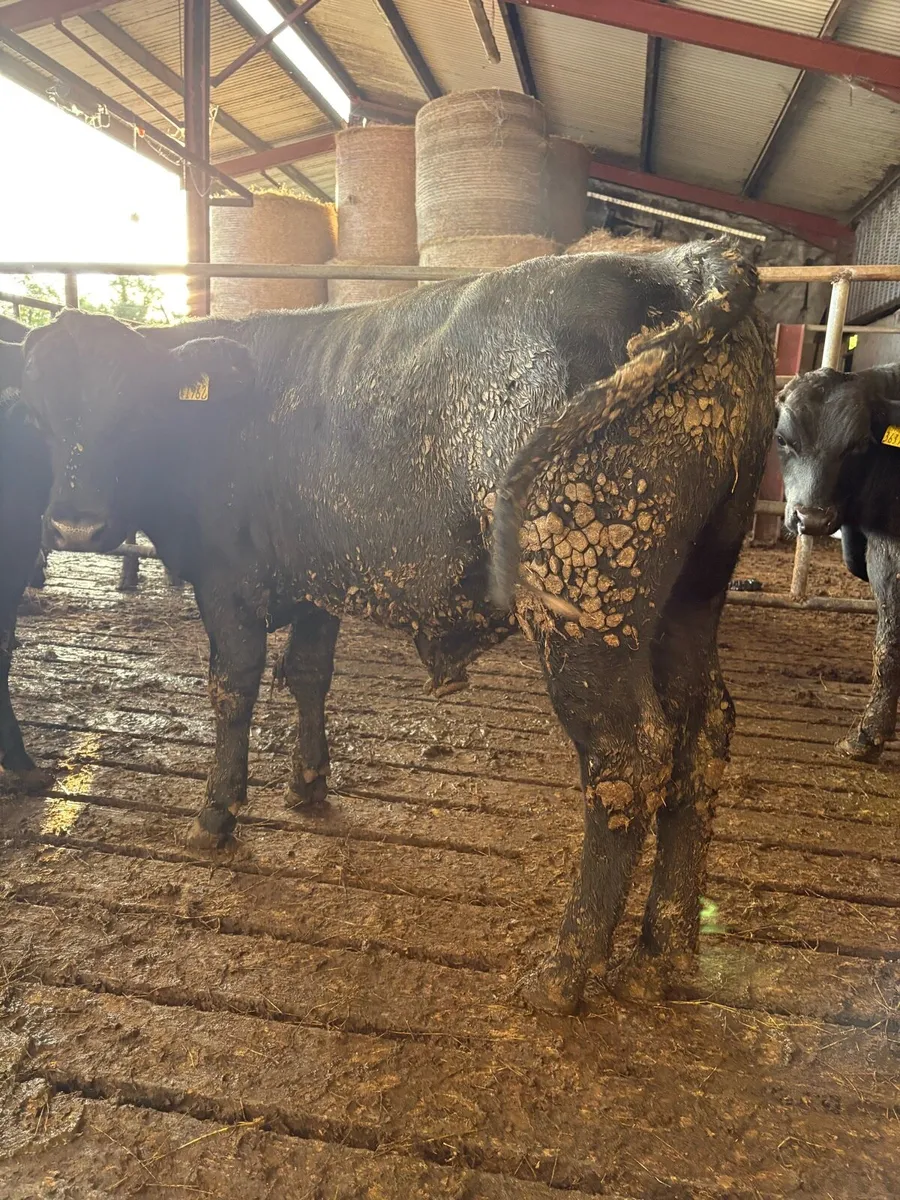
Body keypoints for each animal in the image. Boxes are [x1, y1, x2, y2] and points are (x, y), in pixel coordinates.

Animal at [7, 241, 773, 1012]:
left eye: (130, 411)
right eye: (37, 418)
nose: (74, 527)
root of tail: (684, 261)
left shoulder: (226, 582)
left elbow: (233, 690)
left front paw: (216, 814)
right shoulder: (318, 574)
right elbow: (308, 675)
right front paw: (308, 786)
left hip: (588, 604)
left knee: (628, 759)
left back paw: (565, 970)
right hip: (694, 593)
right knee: (702, 734)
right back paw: (663, 950)